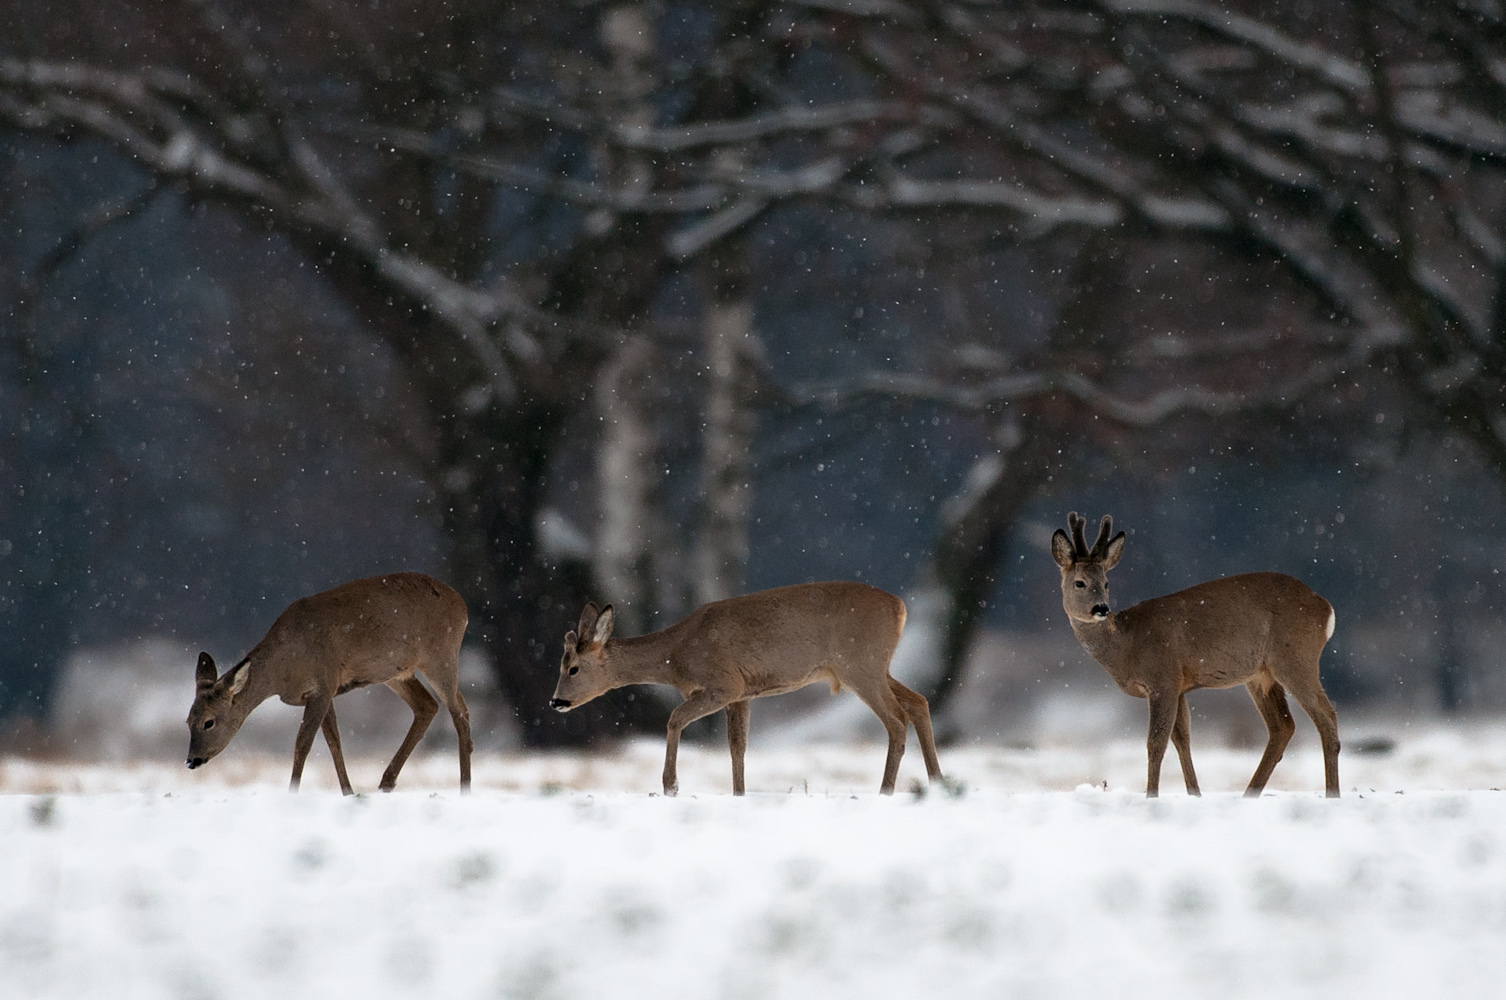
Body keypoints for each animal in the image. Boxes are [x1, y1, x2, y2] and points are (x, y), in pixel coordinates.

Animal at [186, 569, 469, 795]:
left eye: (209, 722)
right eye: (188, 720)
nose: (191, 760)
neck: (283, 670)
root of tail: (462, 605)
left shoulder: (322, 684)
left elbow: (303, 744)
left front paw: (293, 792)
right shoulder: (323, 692)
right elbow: (334, 742)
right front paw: (348, 792)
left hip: (440, 655)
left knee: (459, 712)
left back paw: (464, 787)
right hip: (397, 672)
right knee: (428, 706)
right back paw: (386, 783)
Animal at [548, 581, 939, 795]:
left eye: (573, 668)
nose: (556, 702)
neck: (676, 654)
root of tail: (900, 607)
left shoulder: (724, 684)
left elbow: (675, 719)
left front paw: (671, 786)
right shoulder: (742, 694)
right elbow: (737, 747)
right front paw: (740, 794)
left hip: (861, 665)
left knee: (896, 719)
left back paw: (886, 791)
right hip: (872, 668)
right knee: (918, 702)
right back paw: (937, 780)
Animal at [1048, 512, 1343, 801]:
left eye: (1106, 583)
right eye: (1080, 582)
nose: (1101, 608)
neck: (1126, 645)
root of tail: (1326, 608)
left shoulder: (1163, 679)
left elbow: (1155, 742)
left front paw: (1152, 796)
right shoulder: (1179, 687)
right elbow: (1182, 739)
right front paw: (1195, 794)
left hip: (1295, 658)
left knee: (1326, 716)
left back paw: (1332, 794)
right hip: (1261, 675)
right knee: (1283, 726)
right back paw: (1249, 794)